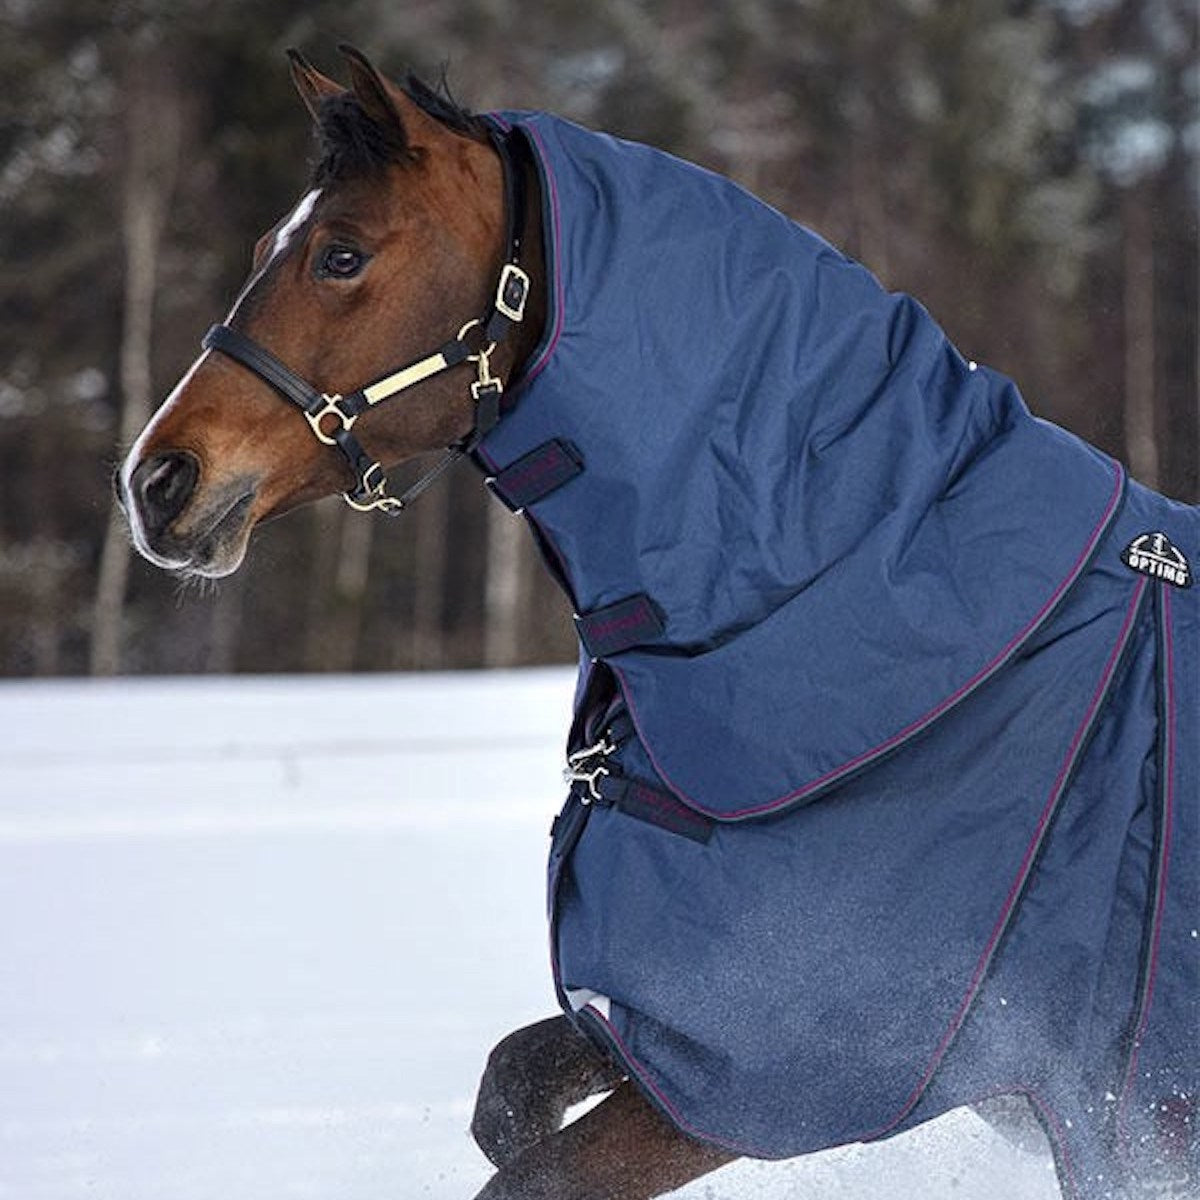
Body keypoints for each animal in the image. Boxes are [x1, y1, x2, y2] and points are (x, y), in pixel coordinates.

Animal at [119, 46, 1197, 1200]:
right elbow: (509, 1095)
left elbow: (528, 1170)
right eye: (270, 246)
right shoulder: (670, 1037)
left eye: (341, 254)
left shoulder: (776, 1071)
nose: (157, 482)